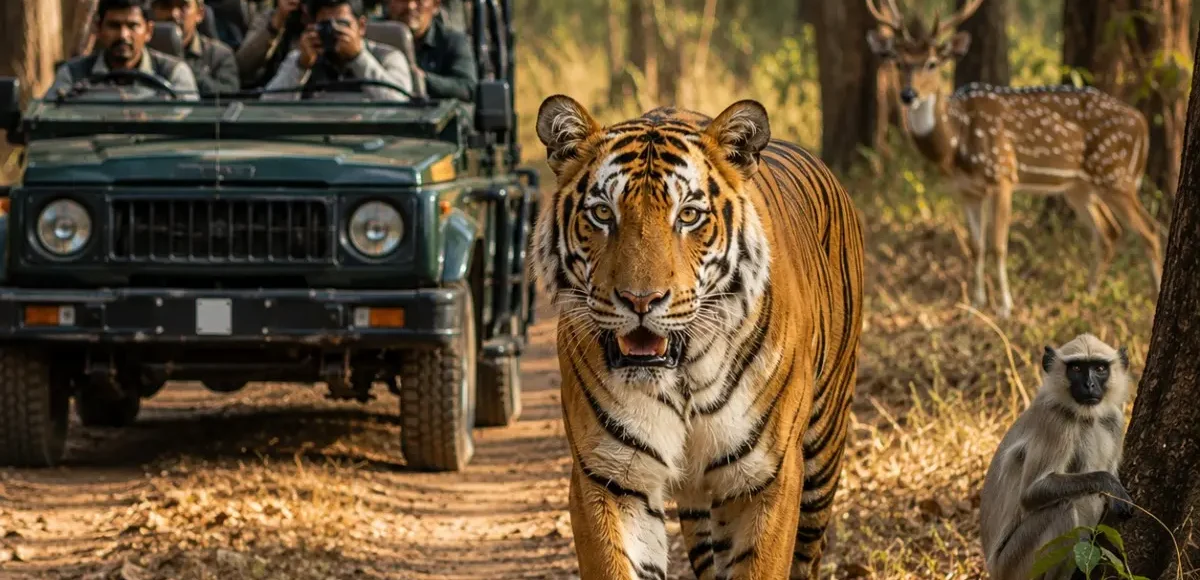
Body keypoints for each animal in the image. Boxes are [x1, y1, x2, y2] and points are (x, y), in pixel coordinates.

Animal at [530, 94, 866, 580]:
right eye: (602, 213)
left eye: (688, 215)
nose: (641, 300)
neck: (683, 372)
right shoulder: (610, 478)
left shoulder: (767, 478)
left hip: (823, 451)